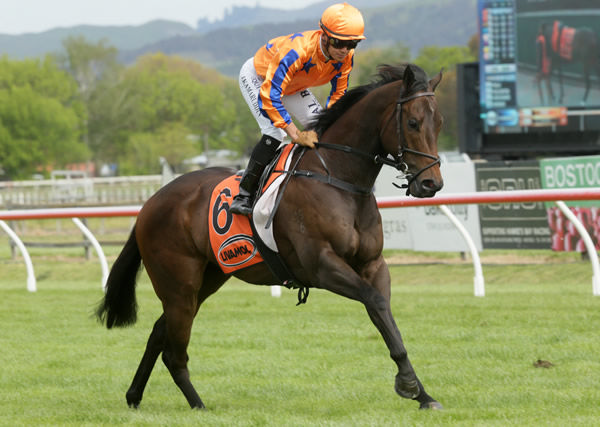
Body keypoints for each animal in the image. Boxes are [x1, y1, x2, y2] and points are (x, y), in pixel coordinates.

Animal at [96, 63, 446, 412]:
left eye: (440, 123)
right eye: (413, 122)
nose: (431, 184)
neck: (337, 178)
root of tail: (150, 203)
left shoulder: (373, 264)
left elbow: (384, 315)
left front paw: (422, 394)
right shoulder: (322, 266)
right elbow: (374, 301)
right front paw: (409, 385)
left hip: (207, 278)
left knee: (159, 332)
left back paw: (134, 396)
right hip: (179, 285)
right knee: (173, 352)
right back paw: (198, 405)